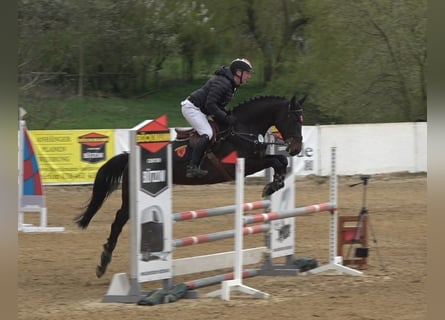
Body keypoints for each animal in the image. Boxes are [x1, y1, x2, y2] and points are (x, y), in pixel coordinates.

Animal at [76, 95, 306, 278]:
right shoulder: (244, 165)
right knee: (119, 219)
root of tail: (129, 156)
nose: (296, 149)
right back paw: (103, 262)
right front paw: (272, 186)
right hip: (131, 195)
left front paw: (275, 184)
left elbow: (280, 161)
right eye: (293, 119)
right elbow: (275, 160)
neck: (242, 128)